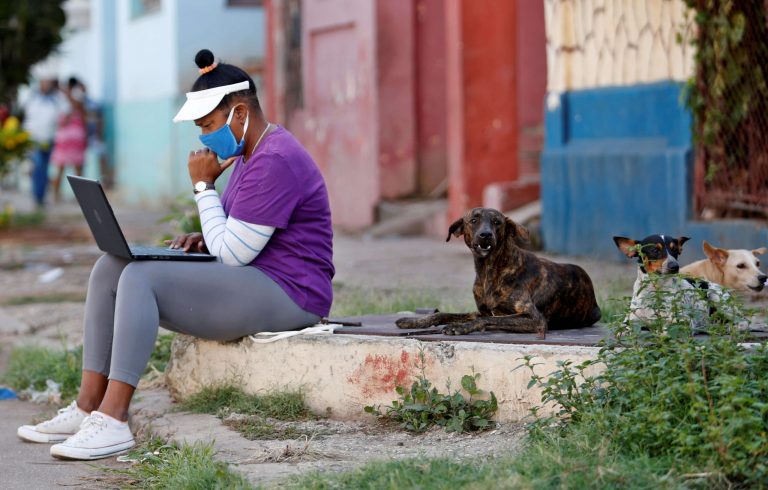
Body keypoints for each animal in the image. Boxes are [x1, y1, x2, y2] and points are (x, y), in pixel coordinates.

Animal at [396, 208, 600, 340]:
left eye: (497, 222)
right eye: (473, 220)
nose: (485, 235)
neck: (489, 270)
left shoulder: (535, 319)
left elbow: (490, 319)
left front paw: (459, 327)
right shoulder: (480, 311)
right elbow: (442, 314)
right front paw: (412, 321)